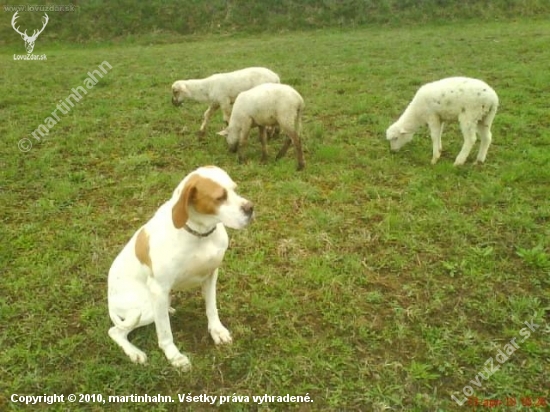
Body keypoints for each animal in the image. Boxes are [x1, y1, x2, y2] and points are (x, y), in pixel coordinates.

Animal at [108, 166, 254, 368]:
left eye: (235, 189)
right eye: (220, 197)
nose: (251, 208)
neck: (199, 233)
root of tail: (109, 297)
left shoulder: (211, 275)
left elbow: (212, 308)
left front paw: (217, 331)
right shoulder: (158, 289)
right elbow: (164, 333)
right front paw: (174, 356)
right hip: (145, 309)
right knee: (116, 331)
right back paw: (134, 352)